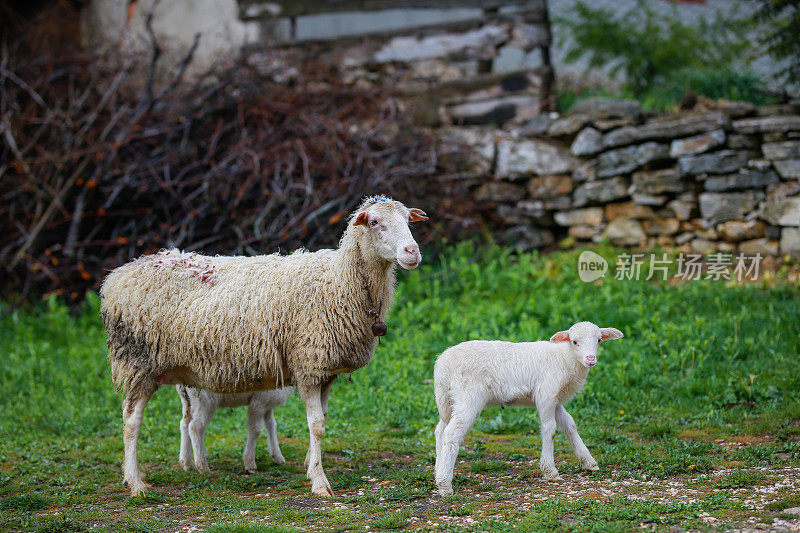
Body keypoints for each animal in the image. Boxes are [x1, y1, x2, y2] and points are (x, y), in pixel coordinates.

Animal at [101, 195, 428, 494]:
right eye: (374, 222)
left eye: (408, 220)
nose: (412, 252)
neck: (339, 280)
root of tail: (117, 276)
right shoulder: (308, 364)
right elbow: (316, 425)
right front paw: (320, 482)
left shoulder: (326, 372)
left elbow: (322, 421)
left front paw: (309, 466)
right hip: (137, 361)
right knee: (131, 422)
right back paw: (136, 483)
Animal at [432, 320, 624, 494]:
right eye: (574, 341)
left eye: (599, 340)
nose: (590, 359)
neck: (565, 358)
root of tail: (442, 363)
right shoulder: (546, 393)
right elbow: (550, 429)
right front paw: (550, 471)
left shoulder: (556, 399)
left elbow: (569, 424)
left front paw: (588, 462)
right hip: (468, 396)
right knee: (452, 433)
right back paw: (445, 485)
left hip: (449, 399)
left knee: (440, 430)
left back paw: (438, 473)